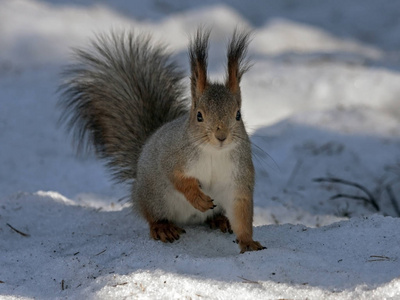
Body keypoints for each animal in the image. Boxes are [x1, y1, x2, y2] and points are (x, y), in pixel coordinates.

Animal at [59, 28, 266, 253]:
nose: (221, 136)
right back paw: (163, 227)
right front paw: (197, 197)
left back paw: (219, 220)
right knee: (152, 216)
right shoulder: (172, 156)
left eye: (238, 115)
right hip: (155, 197)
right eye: (199, 116)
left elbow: (242, 212)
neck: (214, 153)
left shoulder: (239, 178)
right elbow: (177, 178)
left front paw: (248, 242)